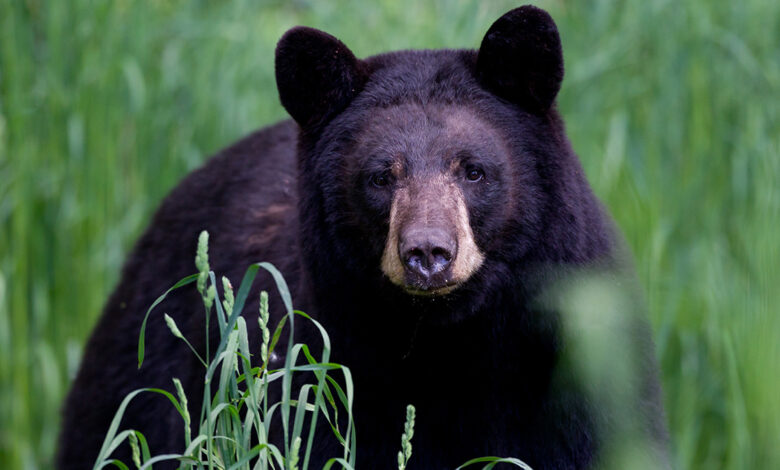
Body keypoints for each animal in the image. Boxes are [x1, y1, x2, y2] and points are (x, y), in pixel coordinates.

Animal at [57, 5, 669, 470]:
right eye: (380, 176)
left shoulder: (577, 378)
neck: (448, 348)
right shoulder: (328, 377)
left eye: (473, 170)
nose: (428, 253)